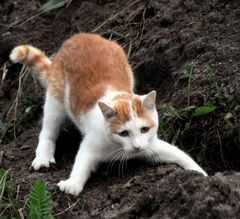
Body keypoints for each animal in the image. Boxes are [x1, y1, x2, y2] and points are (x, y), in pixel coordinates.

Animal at [10, 33, 207, 196]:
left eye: (144, 129)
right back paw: (43, 157)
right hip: (55, 101)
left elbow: (179, 154)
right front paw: (72, 184)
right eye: (124, 133)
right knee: (48, 131)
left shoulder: (151, 145)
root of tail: (79, 36)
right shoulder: (90, 145)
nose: (137, 147)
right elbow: (81, 163)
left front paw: (201, 175)